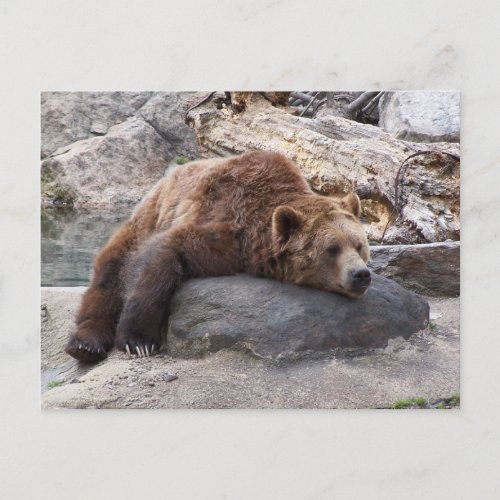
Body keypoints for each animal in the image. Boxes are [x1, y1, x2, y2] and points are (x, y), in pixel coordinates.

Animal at [65, 150, 372, 362]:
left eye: (359, 245)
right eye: (332, 248)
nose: (361, 275)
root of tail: (163, 179)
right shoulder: (225, 228)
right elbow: (161, 255)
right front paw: (139, 341)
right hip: (144, 220)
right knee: (109, 273)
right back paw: (85, 344)